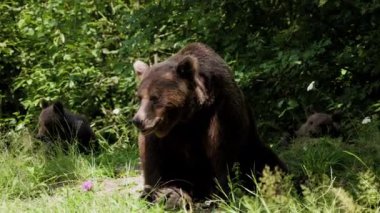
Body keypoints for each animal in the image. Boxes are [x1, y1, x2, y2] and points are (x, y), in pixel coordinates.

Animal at [132, 42, 286, 207]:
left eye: (155, 98)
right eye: (140, 97)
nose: (137, 120)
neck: (188, 116)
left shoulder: (220, 113)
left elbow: (222, 154)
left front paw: (222, 196)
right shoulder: (164, 135)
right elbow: (152, 159)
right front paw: (156, 194)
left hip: (252, 145)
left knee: (267, 162)